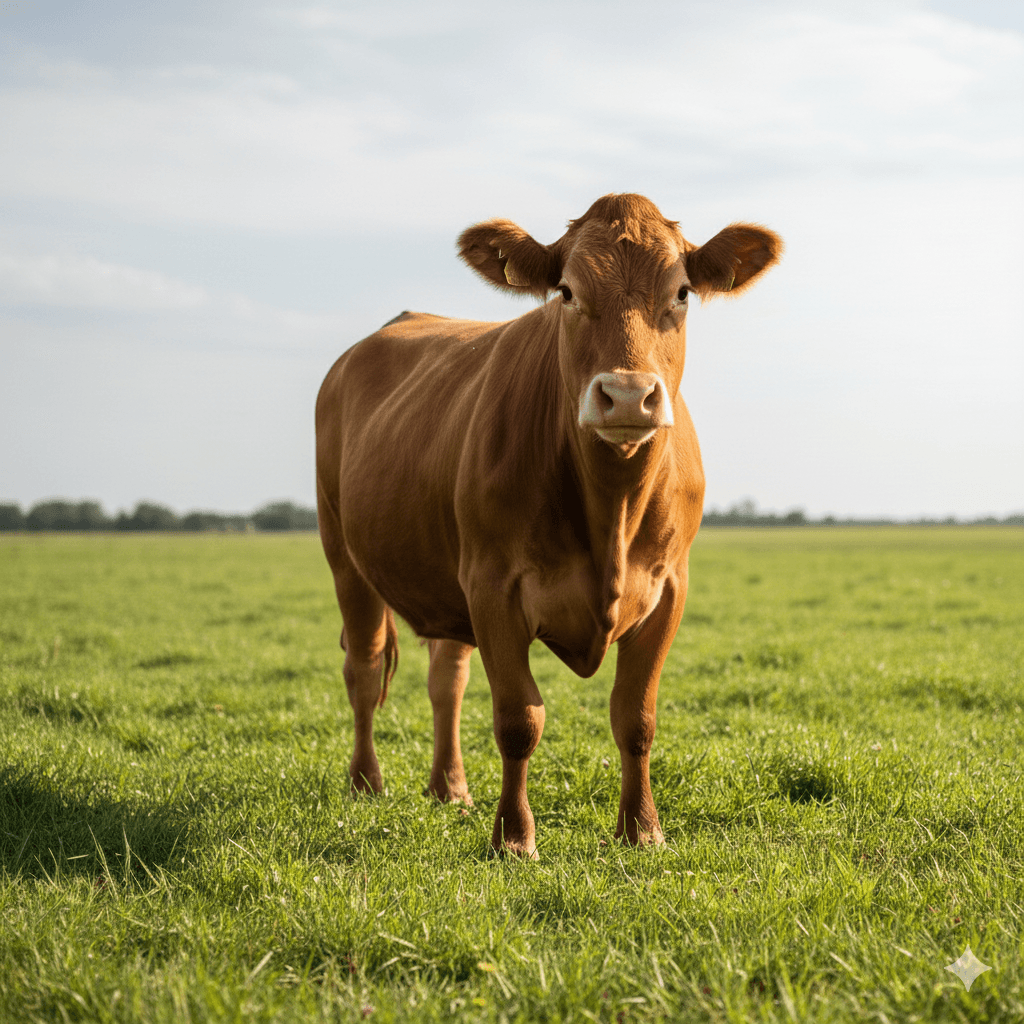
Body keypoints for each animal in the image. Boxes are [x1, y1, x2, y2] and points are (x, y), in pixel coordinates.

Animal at [316, 194, 781, 857]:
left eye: (683, 292)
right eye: (566, 291)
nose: (628, 395)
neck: (611, 509)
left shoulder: (669, 588)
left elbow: (636, 716)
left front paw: (642, 830)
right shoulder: (493, 587)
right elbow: (519, 720)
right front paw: (513, 838)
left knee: (445, 678)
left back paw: (449, 789)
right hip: (344, 555)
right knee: (363, 667)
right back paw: (366, 783)